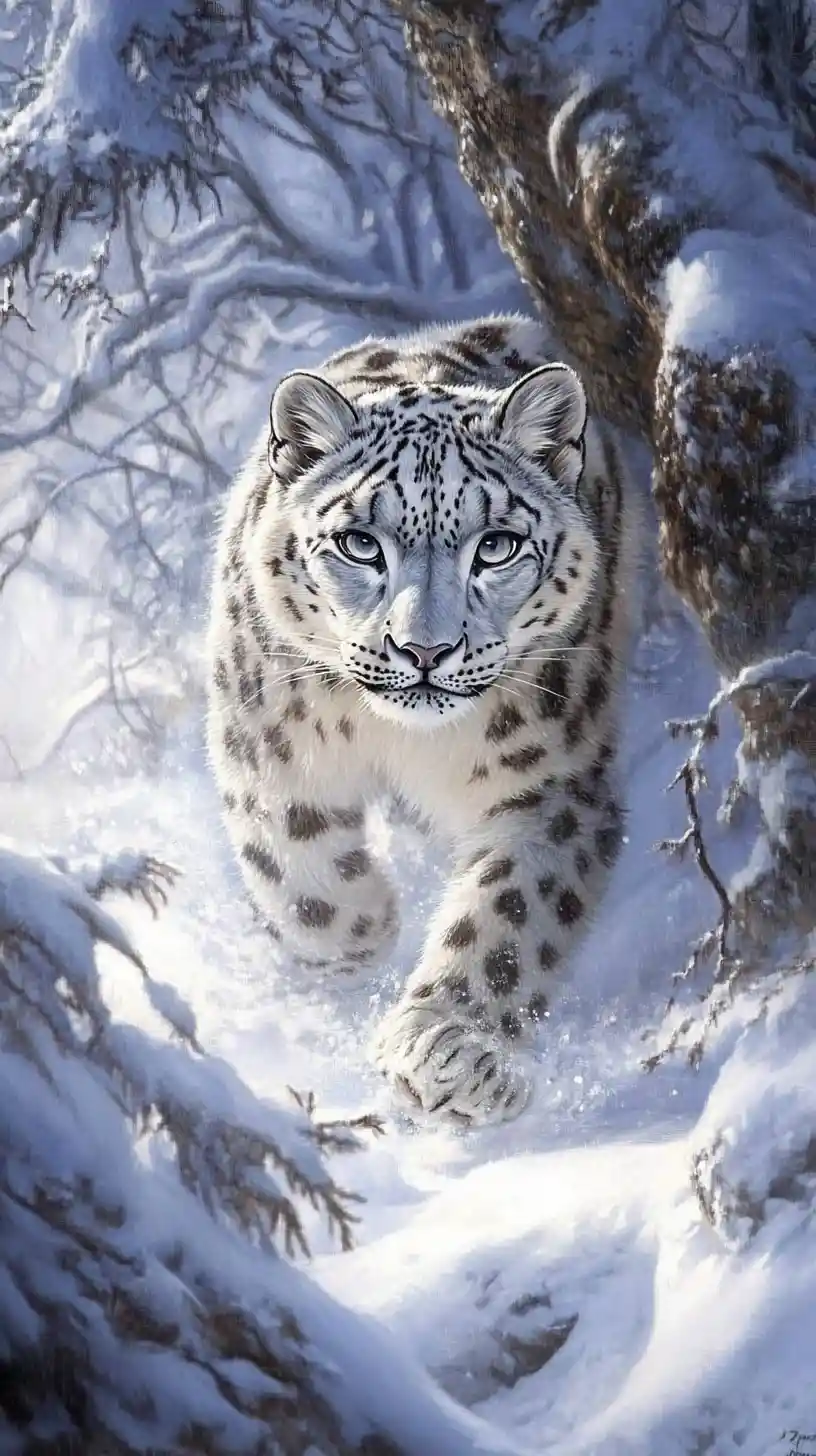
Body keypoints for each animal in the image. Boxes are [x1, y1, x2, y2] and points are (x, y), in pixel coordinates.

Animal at [206, 313, 636, 1127]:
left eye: (496, 545)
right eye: (359, 543)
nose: (425, 650)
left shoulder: (555, 786)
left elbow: (509, 917)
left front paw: (453, 1055)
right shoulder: (266, 745)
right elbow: (298, 869)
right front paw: (364, 931)